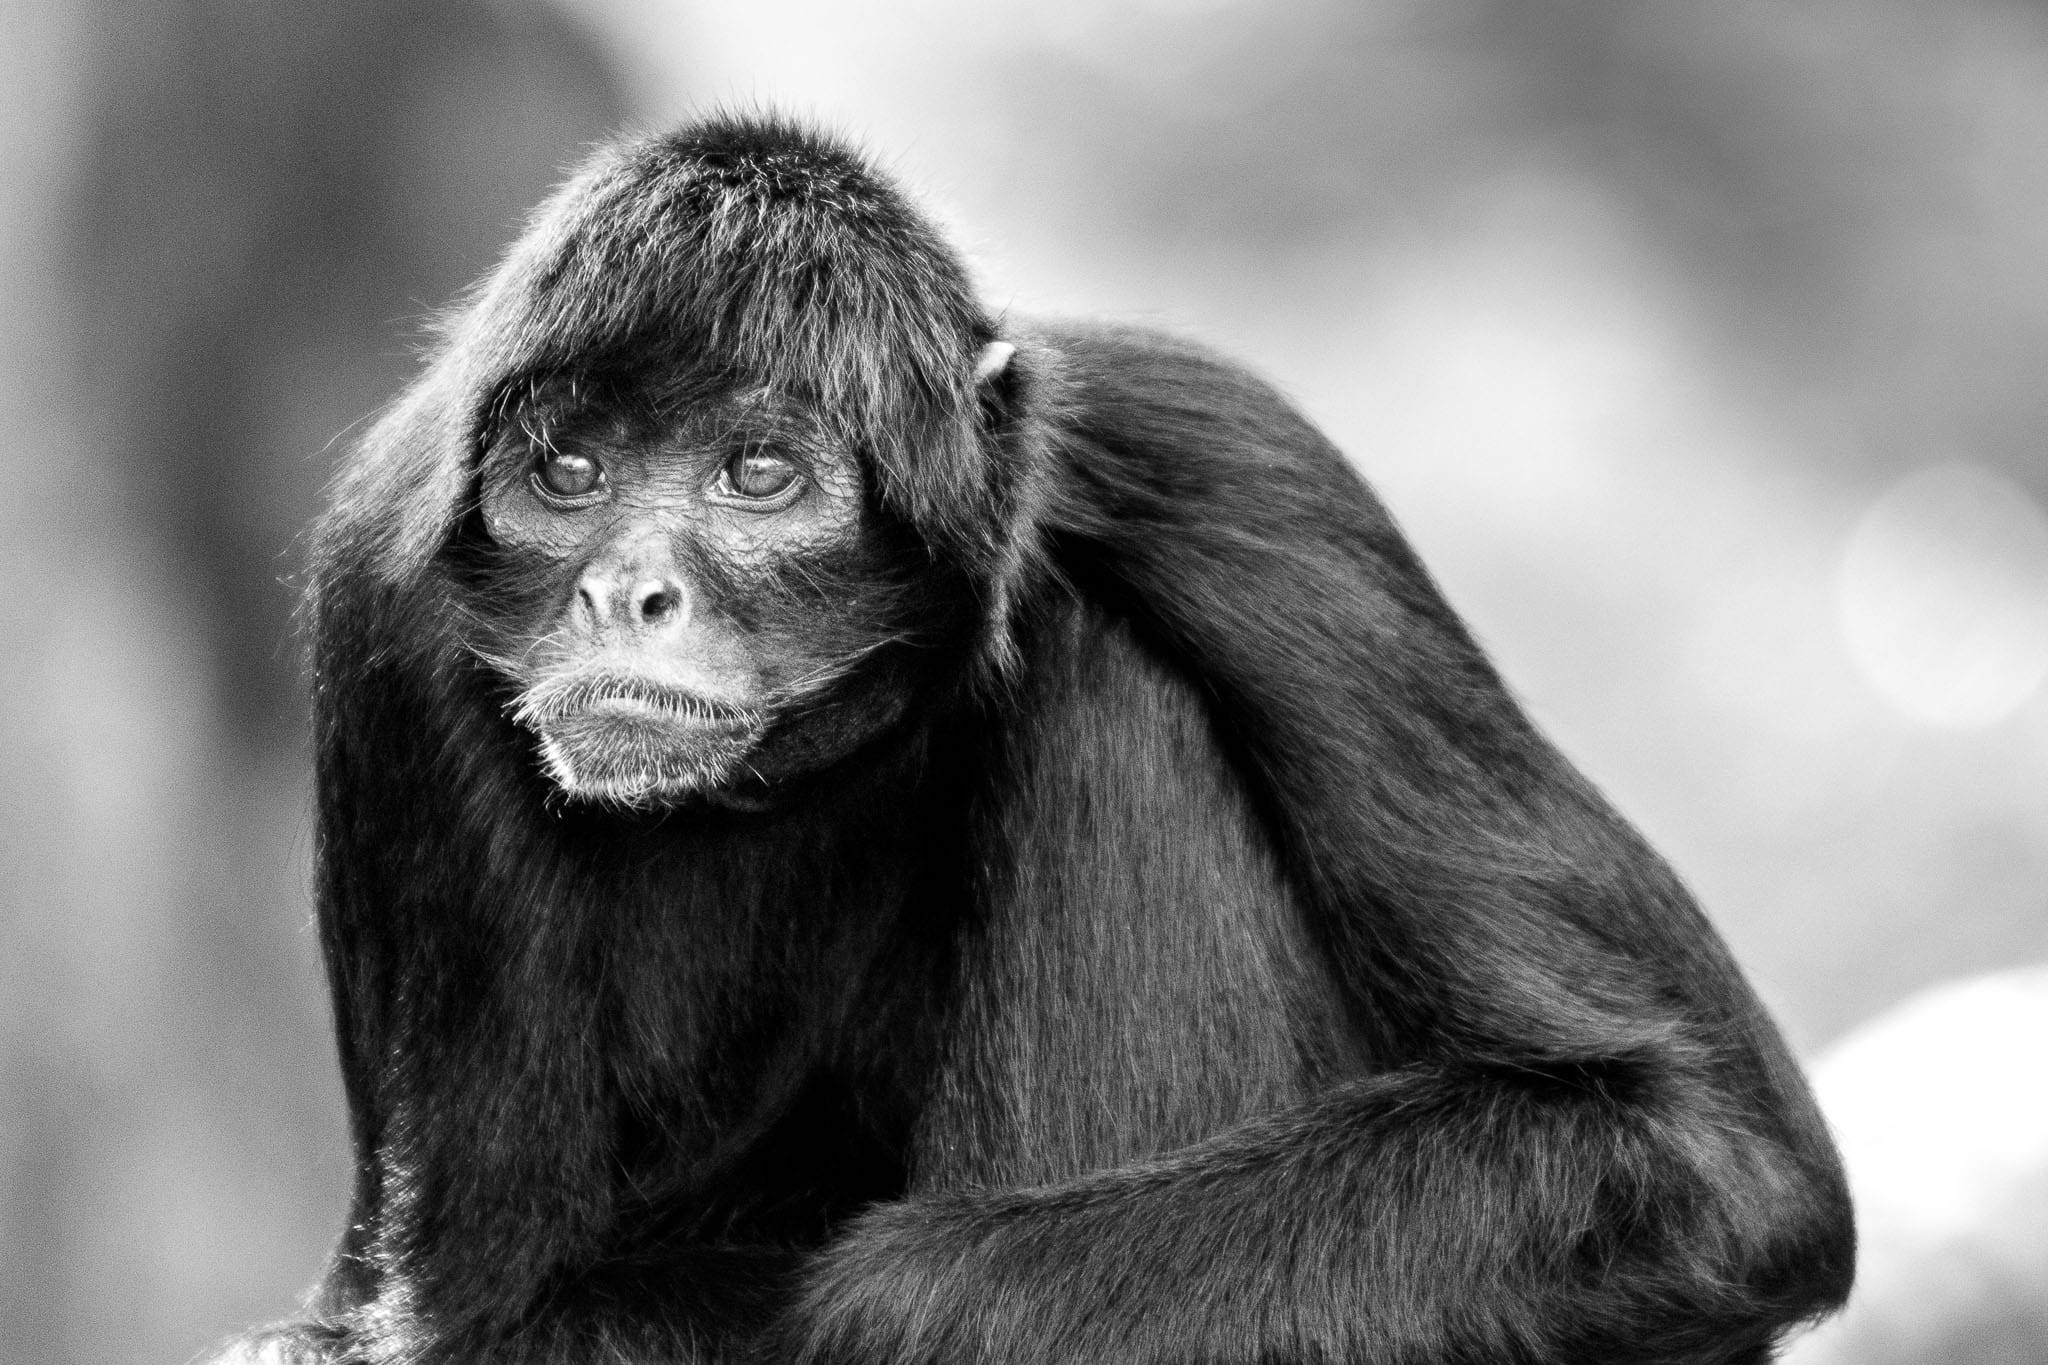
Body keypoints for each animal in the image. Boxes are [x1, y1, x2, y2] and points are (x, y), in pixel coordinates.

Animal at [210, 112, 1853, 1365]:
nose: (626, 589)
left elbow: (1719, 1164)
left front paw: (840, 1306)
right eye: (568, 472)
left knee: (1093, 680)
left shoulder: (1224, 454)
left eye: (758, 472)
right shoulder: (385, 591)